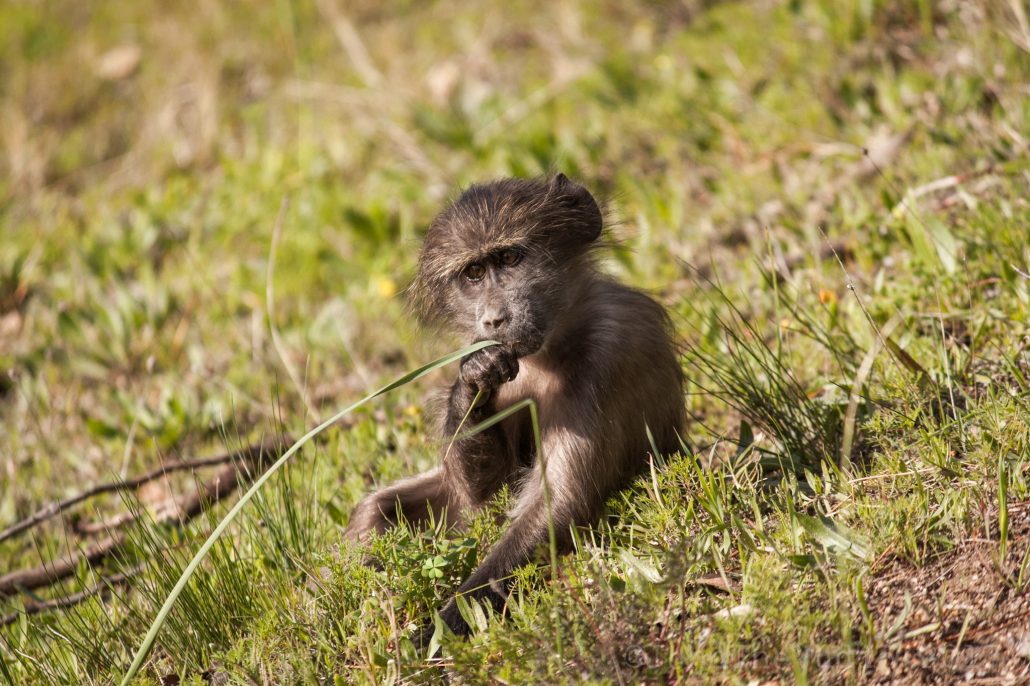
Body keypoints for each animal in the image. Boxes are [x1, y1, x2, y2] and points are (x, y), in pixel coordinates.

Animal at [343, 173, 685, 643]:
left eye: (508, 258)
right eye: (472, 273)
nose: (493, 320)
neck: (553, 346)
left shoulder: (608, 353)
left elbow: (557, 502)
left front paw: (436, 632)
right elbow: (485, 493)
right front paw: (473, 376)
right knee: (376, 510)